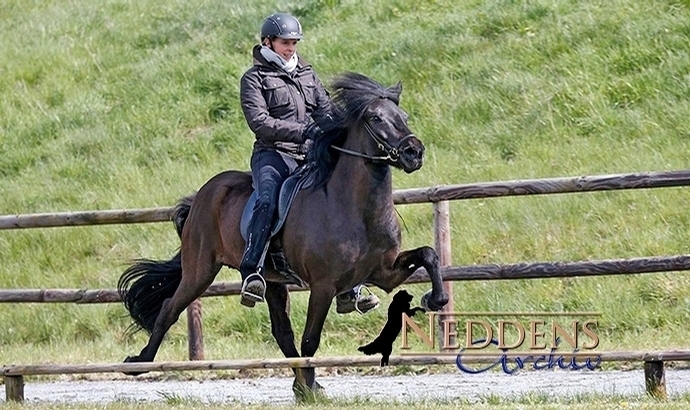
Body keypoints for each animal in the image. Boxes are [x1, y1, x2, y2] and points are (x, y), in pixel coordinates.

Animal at [119, 73, 448, 398]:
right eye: (376, 118)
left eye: (403, 117)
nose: (414, 152)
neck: (356, 208)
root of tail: (202, 195)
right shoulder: (323, 285)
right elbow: (310, 340)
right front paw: (313, 389)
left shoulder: (383, 273)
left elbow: (428, 254)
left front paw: (436, 298)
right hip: (200, 270)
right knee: (169, 309)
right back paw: (138, 363)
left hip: (273, 282)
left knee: (282, 333)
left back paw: (302, 385)